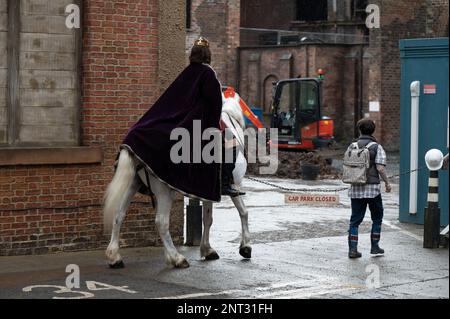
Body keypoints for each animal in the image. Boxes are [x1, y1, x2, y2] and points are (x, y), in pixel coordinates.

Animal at [103, 93, 251, 270]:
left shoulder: (208, 192)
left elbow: (207, 219)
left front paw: (207, 249)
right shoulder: (235, 185)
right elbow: (243, 212)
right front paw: (245, 247)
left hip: (132, 185)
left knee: (119, 214)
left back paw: (114, 257)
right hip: (163, 192)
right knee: (161, 222)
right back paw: (176, 258)